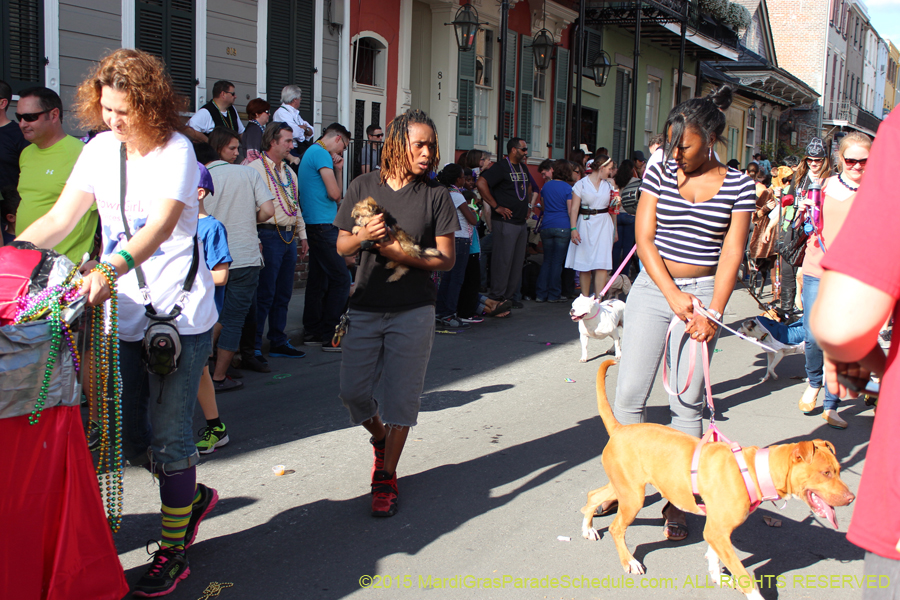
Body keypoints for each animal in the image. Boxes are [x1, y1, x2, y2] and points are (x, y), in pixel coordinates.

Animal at [580, 358, 856, 596]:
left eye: (838, 470)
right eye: (825, 473)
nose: (852, 498)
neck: (755, 470)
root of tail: (620, 428)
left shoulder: (716, 531)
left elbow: (713, 555)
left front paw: (716, 574)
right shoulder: (718, 533)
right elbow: (745, 578)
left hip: (626, 487)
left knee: (592, 495)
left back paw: (588, 528)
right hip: (633, 496)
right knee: (616, 528)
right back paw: (629, 561)